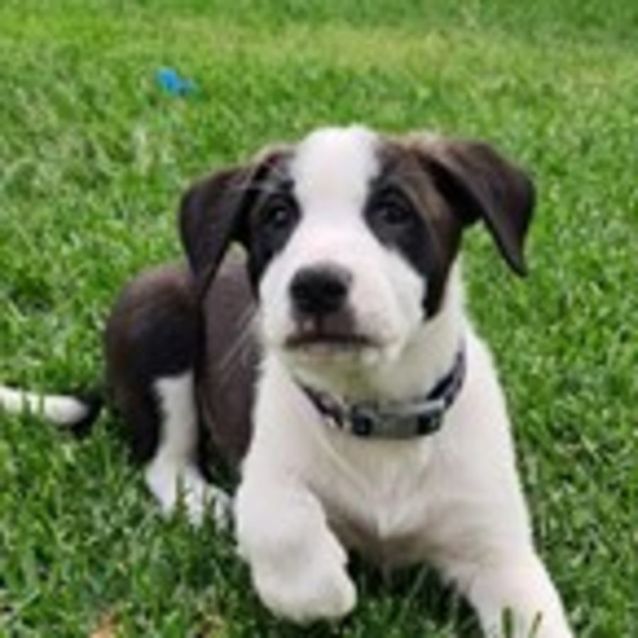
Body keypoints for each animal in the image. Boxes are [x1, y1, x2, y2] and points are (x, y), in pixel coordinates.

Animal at [2, 126, 576, 638]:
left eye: (394, 211)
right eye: (277, 217)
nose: (317, 284)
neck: (377, 413)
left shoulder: (499, 553)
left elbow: (538, 617)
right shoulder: (268, 474)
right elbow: (287, 533)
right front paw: (327, 583)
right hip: (158, 317)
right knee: (165, 463)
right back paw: (209, 505)